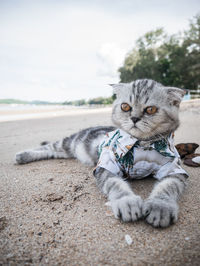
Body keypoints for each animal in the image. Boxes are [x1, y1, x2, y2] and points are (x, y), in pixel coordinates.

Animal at [15, 78, 188, 227]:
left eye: (151, 109)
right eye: (125, 107)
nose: (134, 118)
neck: (142, 144)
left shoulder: (174, 168)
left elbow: (168, 186)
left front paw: (161, 206)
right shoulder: (106, 164)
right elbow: (116, 184)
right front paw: (127, 202)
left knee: (53, 152)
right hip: (68, 143)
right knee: (49, 147)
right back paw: (22, 155)